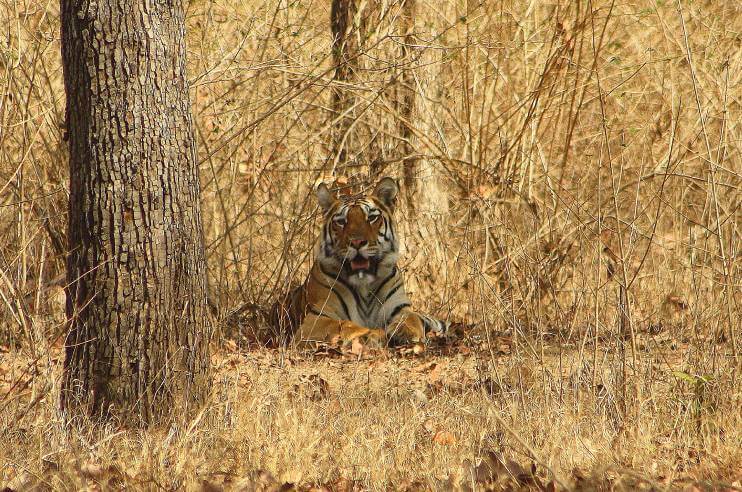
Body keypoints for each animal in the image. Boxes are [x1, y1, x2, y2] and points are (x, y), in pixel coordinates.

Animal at [270, 176, 450, 346]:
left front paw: (405, 332)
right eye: (341, 221)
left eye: (371, 218)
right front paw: (371, 334)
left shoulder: (399, 307)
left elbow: (411, 318)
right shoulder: (316, 318)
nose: (356, 242)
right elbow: (343, 324)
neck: (364, 286)